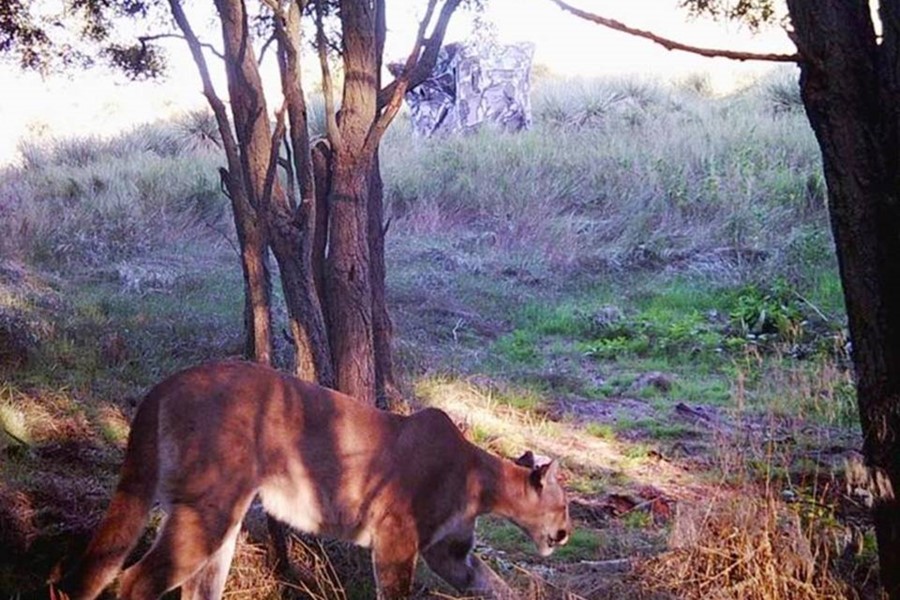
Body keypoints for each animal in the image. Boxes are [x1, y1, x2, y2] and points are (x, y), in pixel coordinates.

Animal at [54, 360, 568, 600]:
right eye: (565, 507)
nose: (564, 533)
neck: (481, 477)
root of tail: (168, 382)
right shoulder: (397, 535)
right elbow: (396, 589)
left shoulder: (449, 552)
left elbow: (491, 583)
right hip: (210, 507)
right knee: (137, 579)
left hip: (219, 515)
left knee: (197, 586)